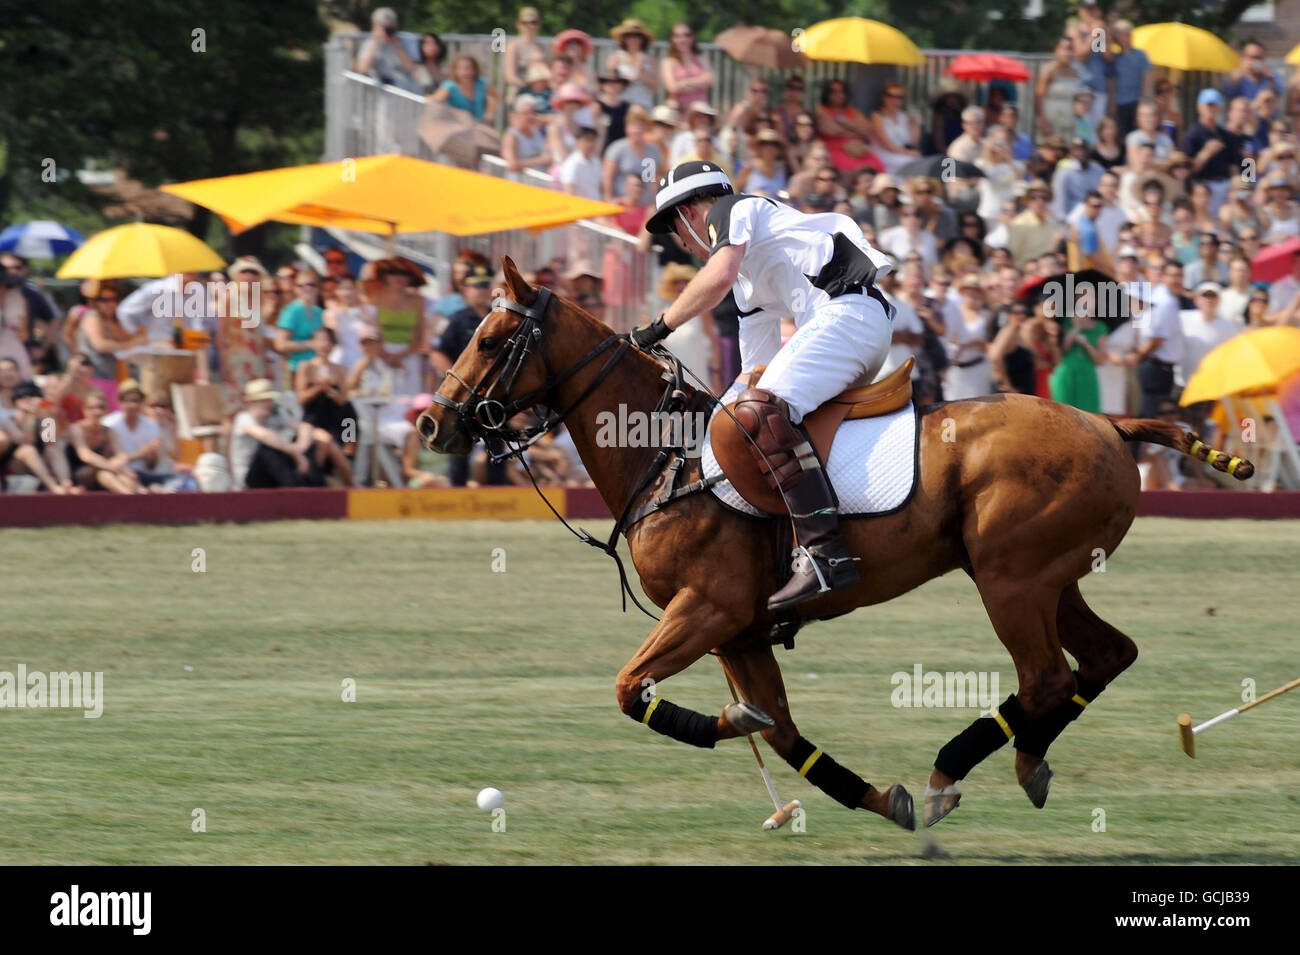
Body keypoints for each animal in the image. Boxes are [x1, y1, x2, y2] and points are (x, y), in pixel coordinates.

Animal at [416, 257, 1248, 831]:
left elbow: (633, 689)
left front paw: (739, 727)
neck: (664, 455)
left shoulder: (708, 608)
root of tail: (1111, 421)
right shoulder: (739, 631)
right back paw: (1025, 759)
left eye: (491, 337)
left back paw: (955, 768)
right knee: (1105, 655)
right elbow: (781, 731)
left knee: (1047, 674)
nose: (432, 422)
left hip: (1010, 575)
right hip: (1054, 576)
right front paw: (879, 798)